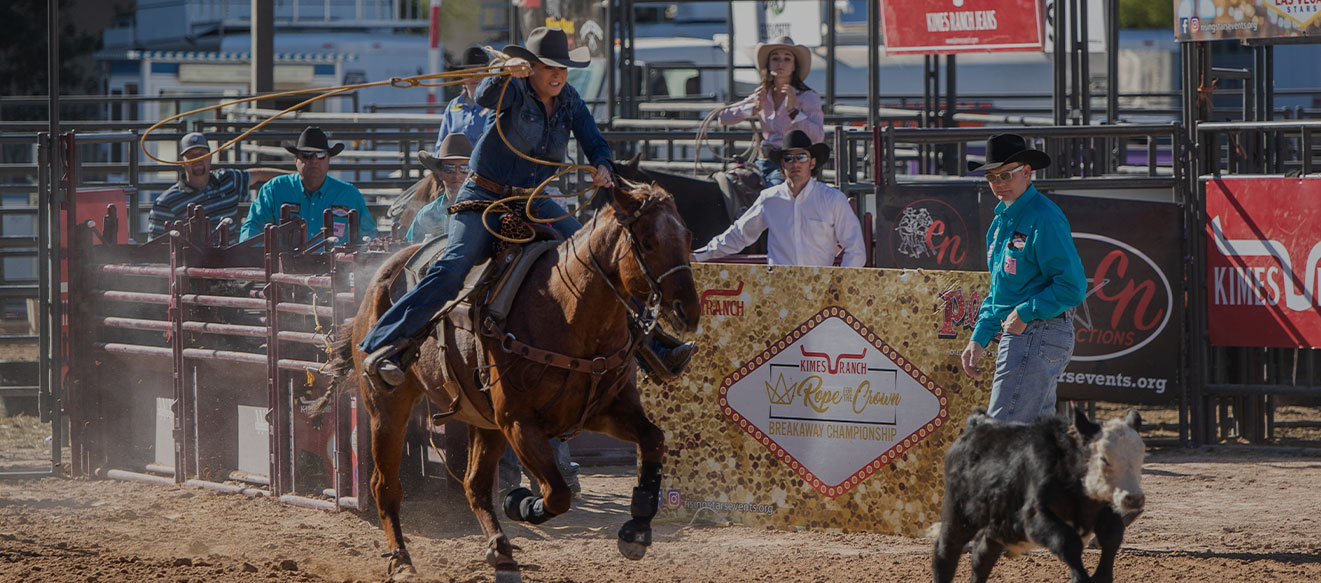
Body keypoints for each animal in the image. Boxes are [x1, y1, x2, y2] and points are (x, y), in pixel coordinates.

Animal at [317, 179, 700, 580]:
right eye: (647, 241)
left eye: (688, 236)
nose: (688, 311)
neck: (568, 312)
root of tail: (383, 272)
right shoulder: (519, 423)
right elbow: (557, 493)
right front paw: (521, 503)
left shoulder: (607, 411)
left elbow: (653, 440)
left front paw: (637, 530)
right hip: (387, 407)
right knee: (385, 485)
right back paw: (403, 561)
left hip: (483, 421)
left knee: (474, 485)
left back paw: (501, 553)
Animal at [932, 408, 1145, 583]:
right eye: (1104, 459)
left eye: (1140, 456)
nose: (1134, 498)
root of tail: (977, 423)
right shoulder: (1034, 516)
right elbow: (1068, 542)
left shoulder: (1103, 510)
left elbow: (1112, 535)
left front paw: (1101, 576)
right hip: (958, 517)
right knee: (945, 552)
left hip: (996, 527)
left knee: (982, 556)